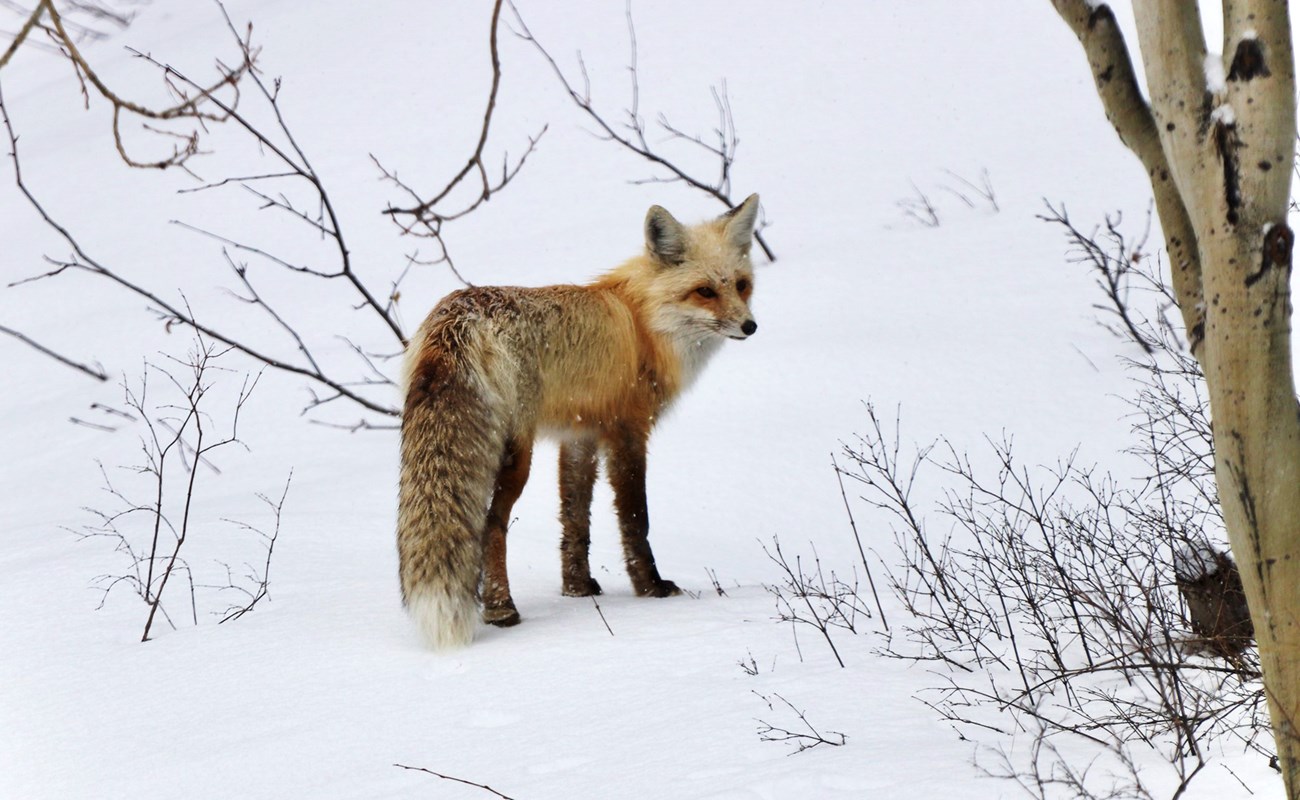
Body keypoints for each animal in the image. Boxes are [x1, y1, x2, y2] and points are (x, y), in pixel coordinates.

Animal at [400, 193, 759, 650]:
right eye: (705, 292)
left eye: (741, 285)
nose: (750, 325)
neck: (645, 326)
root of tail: (457, 317)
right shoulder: (628, 430)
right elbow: (636, 518)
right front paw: (651, 589)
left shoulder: (580, 435)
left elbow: (575, 517)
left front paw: (577, 589)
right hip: (516, 452)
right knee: (491, 523)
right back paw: (501, 608)